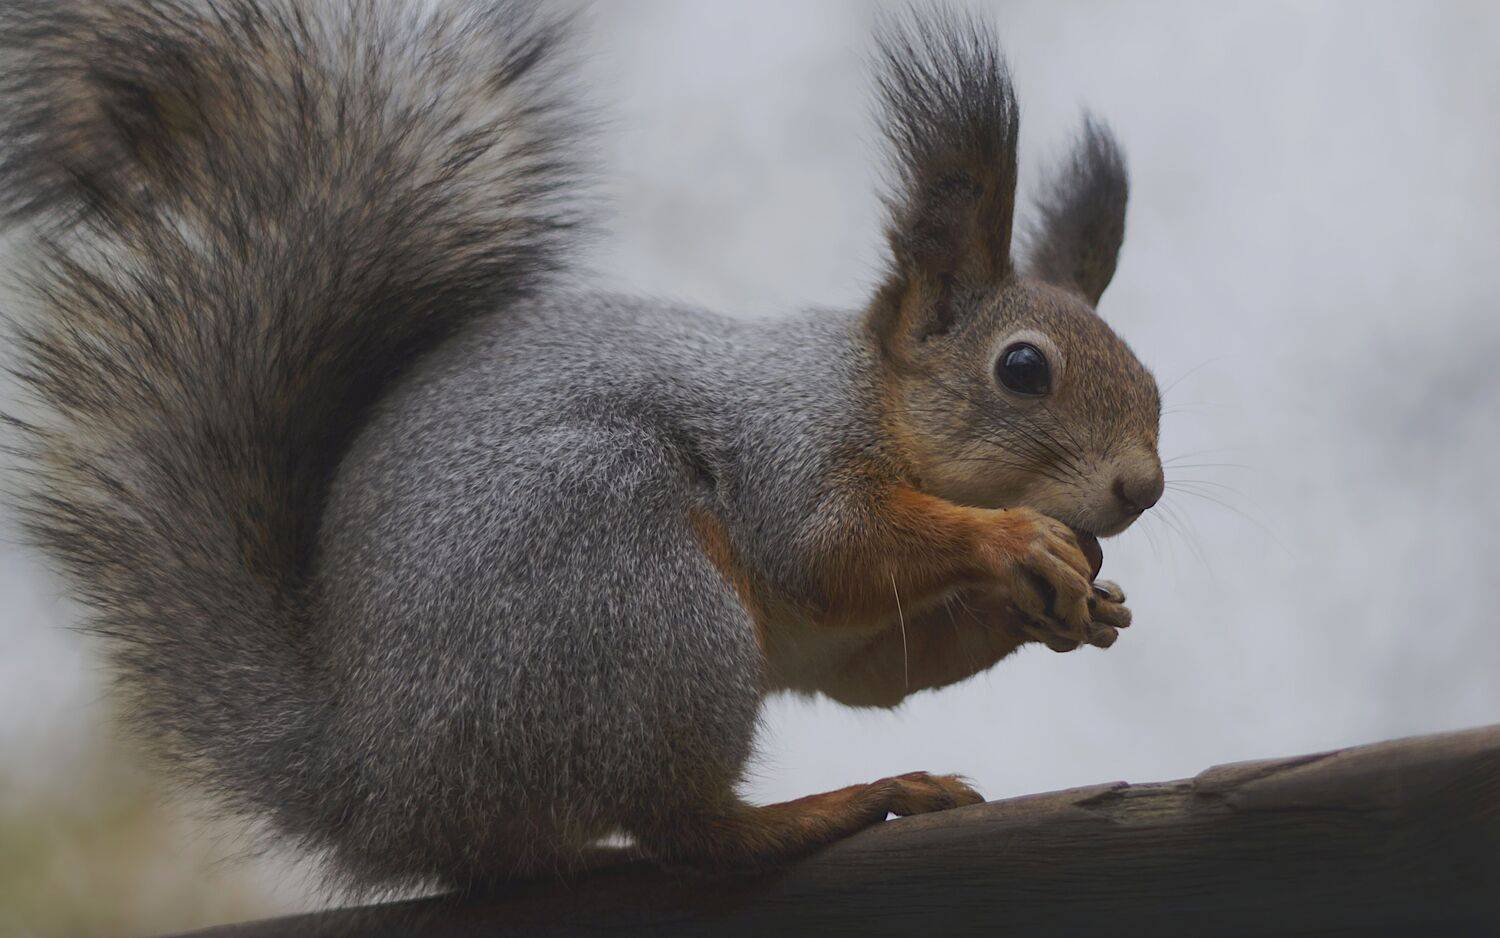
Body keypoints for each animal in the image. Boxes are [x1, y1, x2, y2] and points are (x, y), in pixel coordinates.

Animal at [0, 0, 1163, 894]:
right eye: (1023, 369)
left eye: (1151, 385)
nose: (1142, 487)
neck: (874, 398)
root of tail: (375, 783)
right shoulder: (788, 445)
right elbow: (829, 545)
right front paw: (1015, 543)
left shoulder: (853, 644)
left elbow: (875, 672)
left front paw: (1070, 604)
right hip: (631, 590)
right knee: (692, 830)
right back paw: (844, 802)